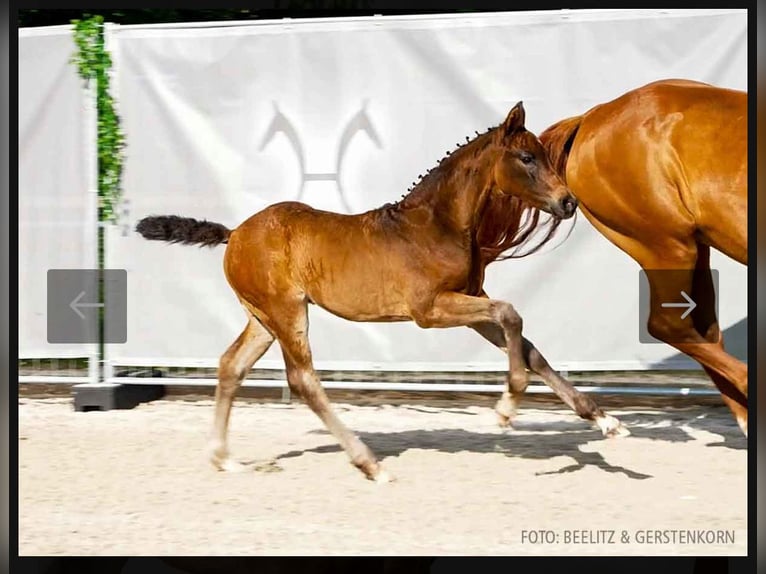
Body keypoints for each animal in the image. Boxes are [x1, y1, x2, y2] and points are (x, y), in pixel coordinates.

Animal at [138, 101, 632, 484]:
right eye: (527, 157)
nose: (568, 202)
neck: (438, 224)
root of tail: (235, 233)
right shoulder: (430, 310)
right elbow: (512, 315)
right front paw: (506, 408)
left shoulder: (469, 303)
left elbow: (529, 348)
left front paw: (605, 421)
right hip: (287, 311)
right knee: (302, 380)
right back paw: (369, 464)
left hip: (261, 318)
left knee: (231, 366)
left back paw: (224, 458)